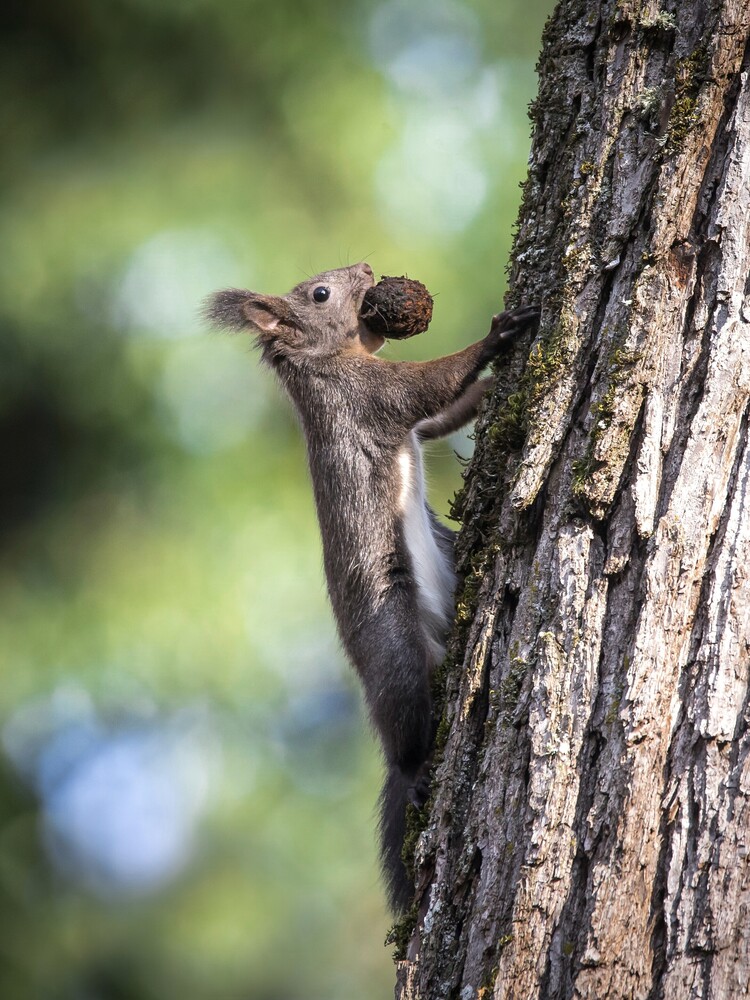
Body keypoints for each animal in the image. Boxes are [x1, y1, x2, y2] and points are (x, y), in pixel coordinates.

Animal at [206, 263, 539, 912]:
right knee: (406, 731)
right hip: (396, 651)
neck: (326, 363)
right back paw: (413, 776)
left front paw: (493, 387)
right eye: (320, 294)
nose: (365, 269)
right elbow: (428, 387)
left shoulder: (401, 415)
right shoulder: (366, 398)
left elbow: (441, 415)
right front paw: (497, 335)